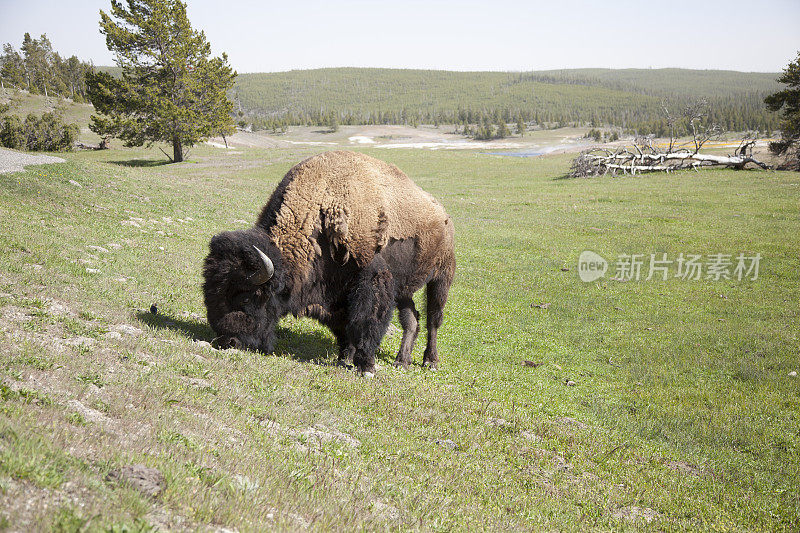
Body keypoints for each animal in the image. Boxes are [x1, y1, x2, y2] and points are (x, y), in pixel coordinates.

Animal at [203, 150, 456, 374]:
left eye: (246, 297)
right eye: (209, 293)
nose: (228, 341)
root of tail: (443, 215)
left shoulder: (371, 280)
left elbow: (366, 320)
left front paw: (366, 366)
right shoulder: (335, 293)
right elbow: (343, 326)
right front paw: (344, 358)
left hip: (441, 276)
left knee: (433, 319)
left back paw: (430, 362)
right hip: (403, 289)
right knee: (412, 319)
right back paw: (401, 362)